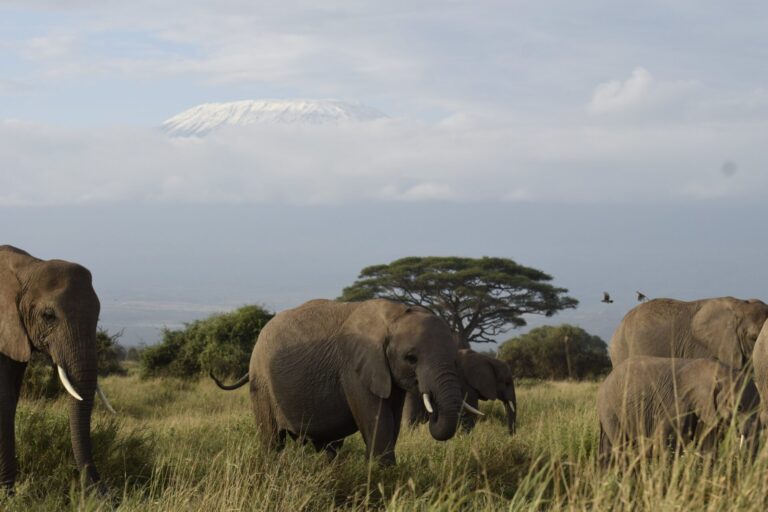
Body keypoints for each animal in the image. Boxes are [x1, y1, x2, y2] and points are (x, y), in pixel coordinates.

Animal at [210, 298, 469, 465]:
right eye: (411, 358)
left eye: (455, 359)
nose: (433, 414)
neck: (395, 314)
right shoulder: (354, 368)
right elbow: (379, 422)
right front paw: (379, 475)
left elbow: (393, 422)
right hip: (261, 383)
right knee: (272, 439)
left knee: (328, 445)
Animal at [597, 356, 760, 463]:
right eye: (739, 407)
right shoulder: (678, 404)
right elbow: (664, 441)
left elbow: (708, 446)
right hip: (610, 409)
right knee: (620, 444)